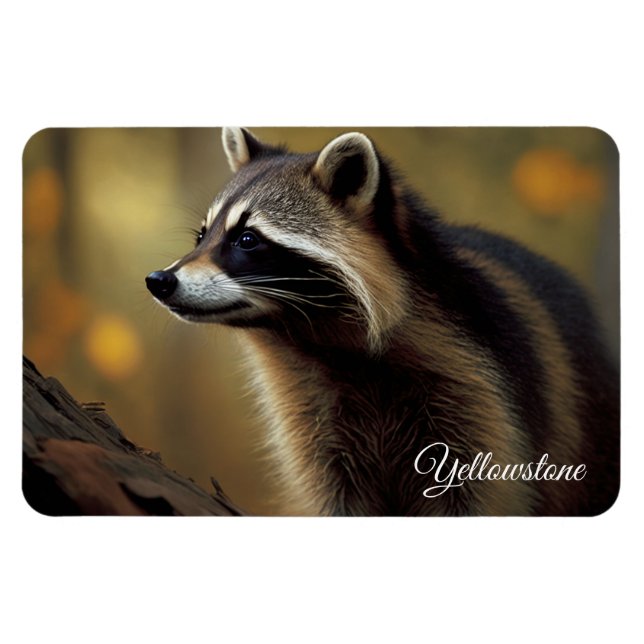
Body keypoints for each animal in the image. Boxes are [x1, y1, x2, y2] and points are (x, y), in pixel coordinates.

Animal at [146, 128, 619, 516]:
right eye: (202, 236)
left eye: (247, 239)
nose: (158, 281)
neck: (321, 343)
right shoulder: (313, 419)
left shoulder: (486, 394)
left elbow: (484, 492)